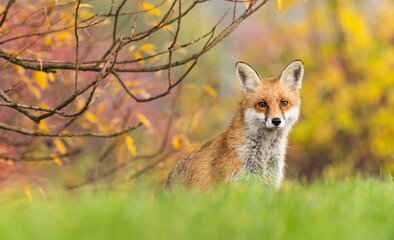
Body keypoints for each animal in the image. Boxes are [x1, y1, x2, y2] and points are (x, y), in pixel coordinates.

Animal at [165, 60, 304, 189]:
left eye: (284, 103)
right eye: (262, 104)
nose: (276, 121)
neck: (264, 155)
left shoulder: (268, 185)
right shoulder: (235, 186)